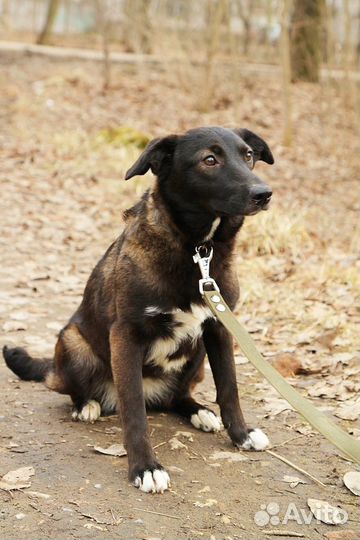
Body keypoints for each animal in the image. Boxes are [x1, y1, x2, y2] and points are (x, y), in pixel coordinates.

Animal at [2, 125, 274, 494]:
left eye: (248, 155)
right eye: (209, 159)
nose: (264, 193)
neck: (197, 250)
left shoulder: (219, 329)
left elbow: (229, 388)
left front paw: (241, 435)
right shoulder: (126, 336)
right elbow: (133, 410)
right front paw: (145, 467)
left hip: (198, 353)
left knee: (177, 397)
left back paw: (198, 411)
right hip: (72, 341)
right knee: (67, 386)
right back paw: (85, 405)